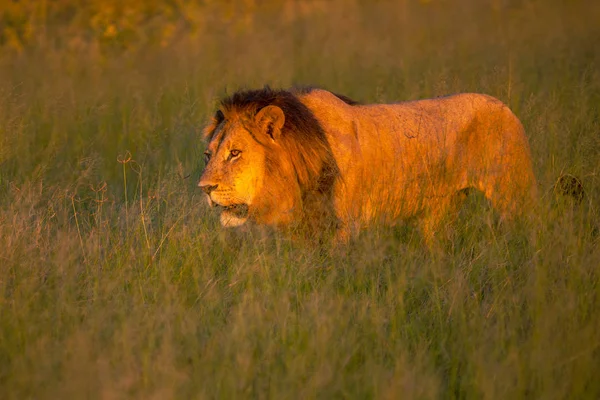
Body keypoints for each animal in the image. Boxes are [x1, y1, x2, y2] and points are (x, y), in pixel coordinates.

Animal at [198, 86, 540, 244]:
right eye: (208, 155)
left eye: (235, 153)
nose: (205, 188)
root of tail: (505, 106)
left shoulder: (343, 226)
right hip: (439, 213)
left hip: (514, 195)